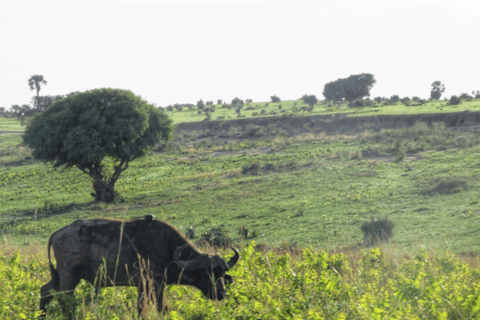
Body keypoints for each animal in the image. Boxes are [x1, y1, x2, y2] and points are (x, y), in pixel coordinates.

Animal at [40, 215, 239, 318]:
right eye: (206, 273)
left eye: (222, 273)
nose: (221, 293)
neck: (167, 248)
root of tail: (56, 234)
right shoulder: (154, 285)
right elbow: (160, 308)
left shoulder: (146, 287)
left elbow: (143, 307)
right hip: (68, 275)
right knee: (64, 299)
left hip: (62, 276)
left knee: (45, 291)